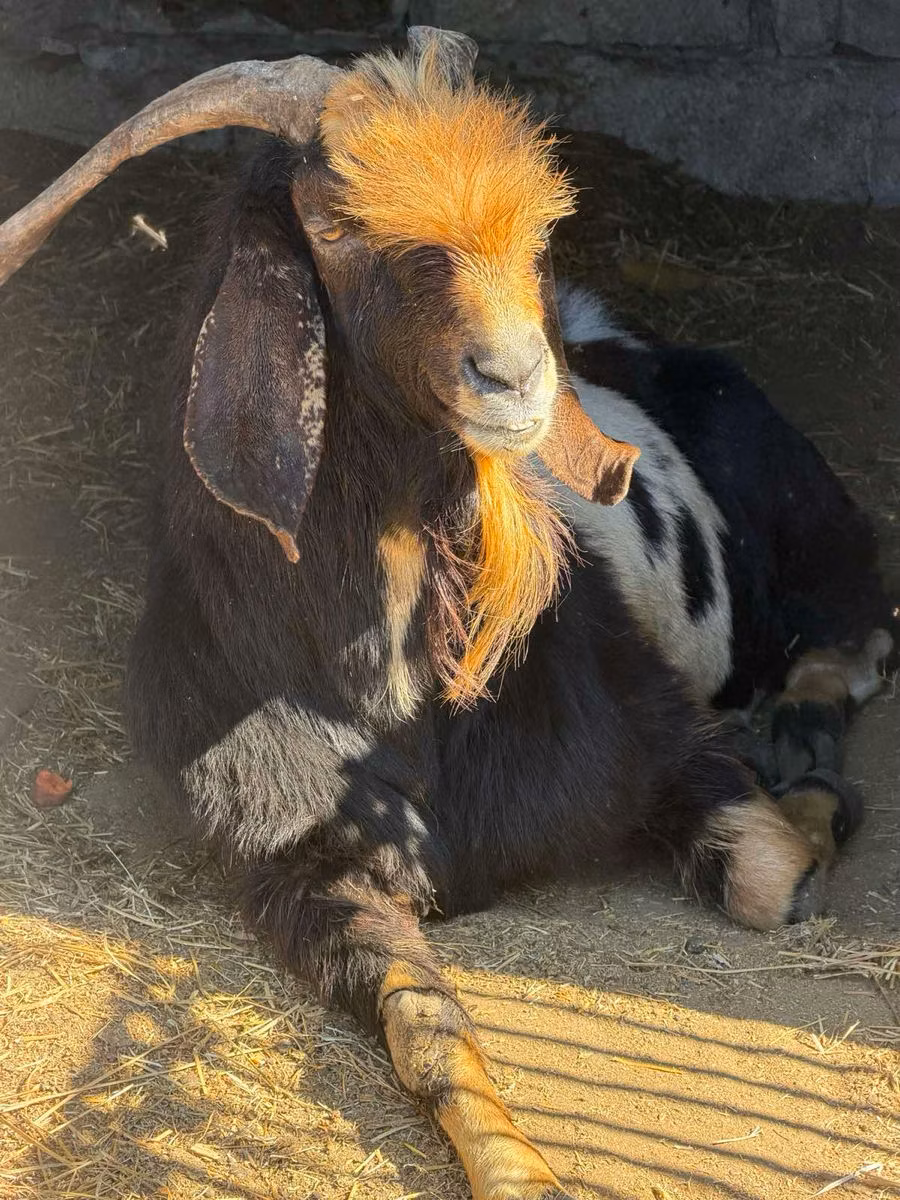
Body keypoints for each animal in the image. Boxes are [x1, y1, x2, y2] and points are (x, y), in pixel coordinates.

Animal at [0, 27, 890, 1200]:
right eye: (335, 224)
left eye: (536, 232)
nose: (514, 377)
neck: (391, 688)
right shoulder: (297, 863)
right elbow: (424, 1027)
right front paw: (517, 1170)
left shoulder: (661, 737)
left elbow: (773, 880)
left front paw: (814, 814)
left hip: (805, 507)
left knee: (855, 628)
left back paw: (801, 737)